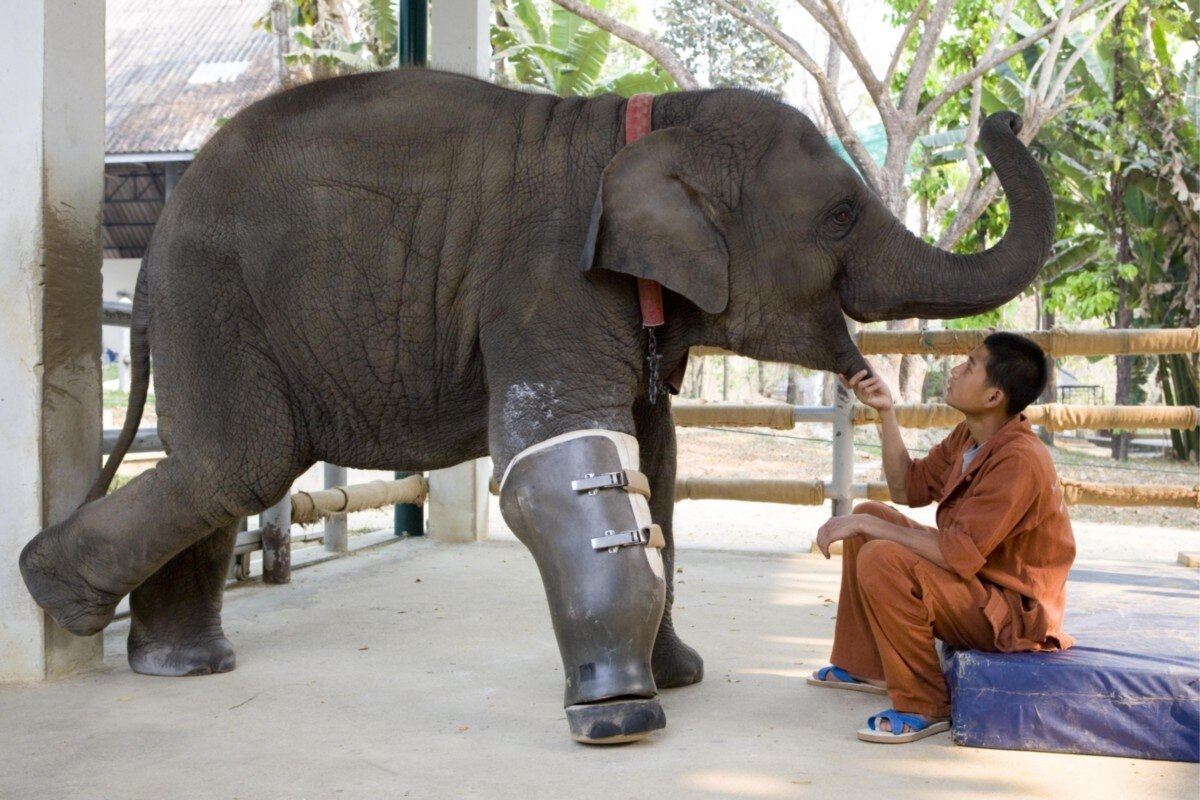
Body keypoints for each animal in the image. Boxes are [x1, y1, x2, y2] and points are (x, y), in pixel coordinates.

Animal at [18, 67, 1051, 743]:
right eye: (839, 216)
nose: (1005, 112)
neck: (650, 120)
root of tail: (152, 241)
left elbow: (656, 463)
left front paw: (679, 678)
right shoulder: (550, 282)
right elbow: (560, 461)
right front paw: (622, 717)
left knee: (214, 468)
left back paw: (176, 664)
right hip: (214, 295)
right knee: (242, 463)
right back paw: (57, 598)